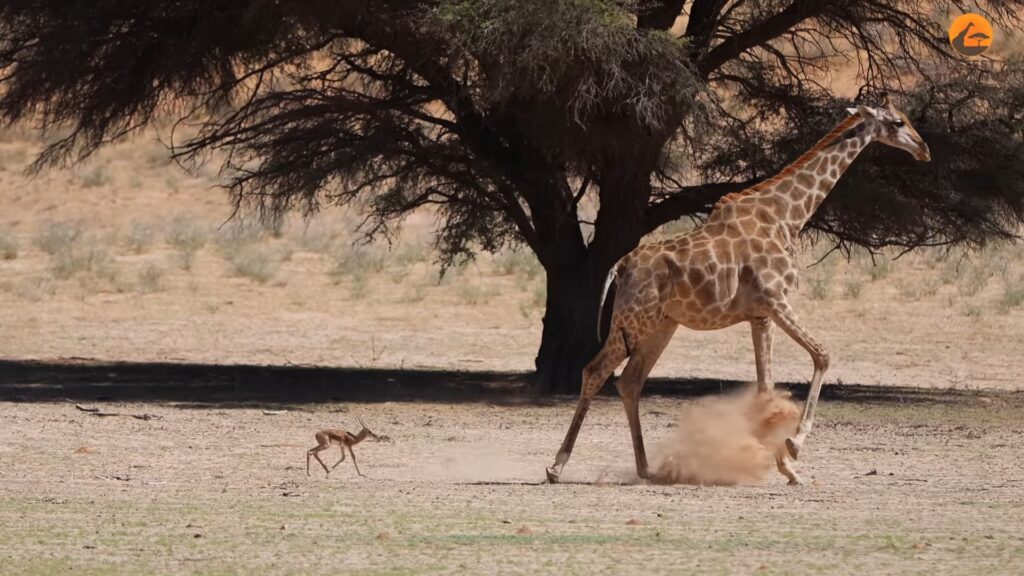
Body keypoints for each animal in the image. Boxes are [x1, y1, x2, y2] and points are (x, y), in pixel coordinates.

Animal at [546, 98, 931, 485]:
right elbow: (821, 355)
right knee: (595, 371)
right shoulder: (775, 299)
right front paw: (794, 446)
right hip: (633, 319)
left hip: (662, 323)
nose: (924, 149)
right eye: (899, 122)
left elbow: (765, 388)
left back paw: (646, 469)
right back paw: (556, 466)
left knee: (630, 381)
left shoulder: (760, 314)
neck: (787, 217)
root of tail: (620, 266)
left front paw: (787, 468)